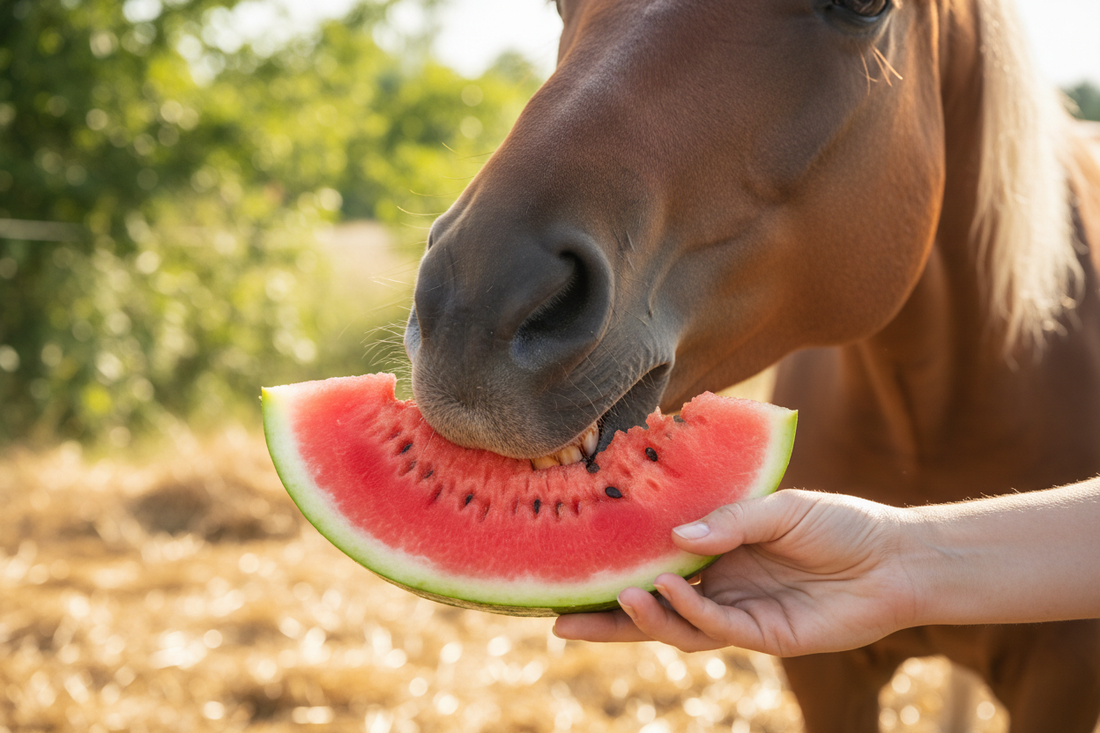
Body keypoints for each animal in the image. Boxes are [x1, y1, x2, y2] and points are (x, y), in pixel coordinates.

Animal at [401, 0, 1100, 730]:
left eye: (865, 7)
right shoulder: (826, 671)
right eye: (557, 6)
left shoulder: (1064, 675)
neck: (928, 430)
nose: (471, 307)